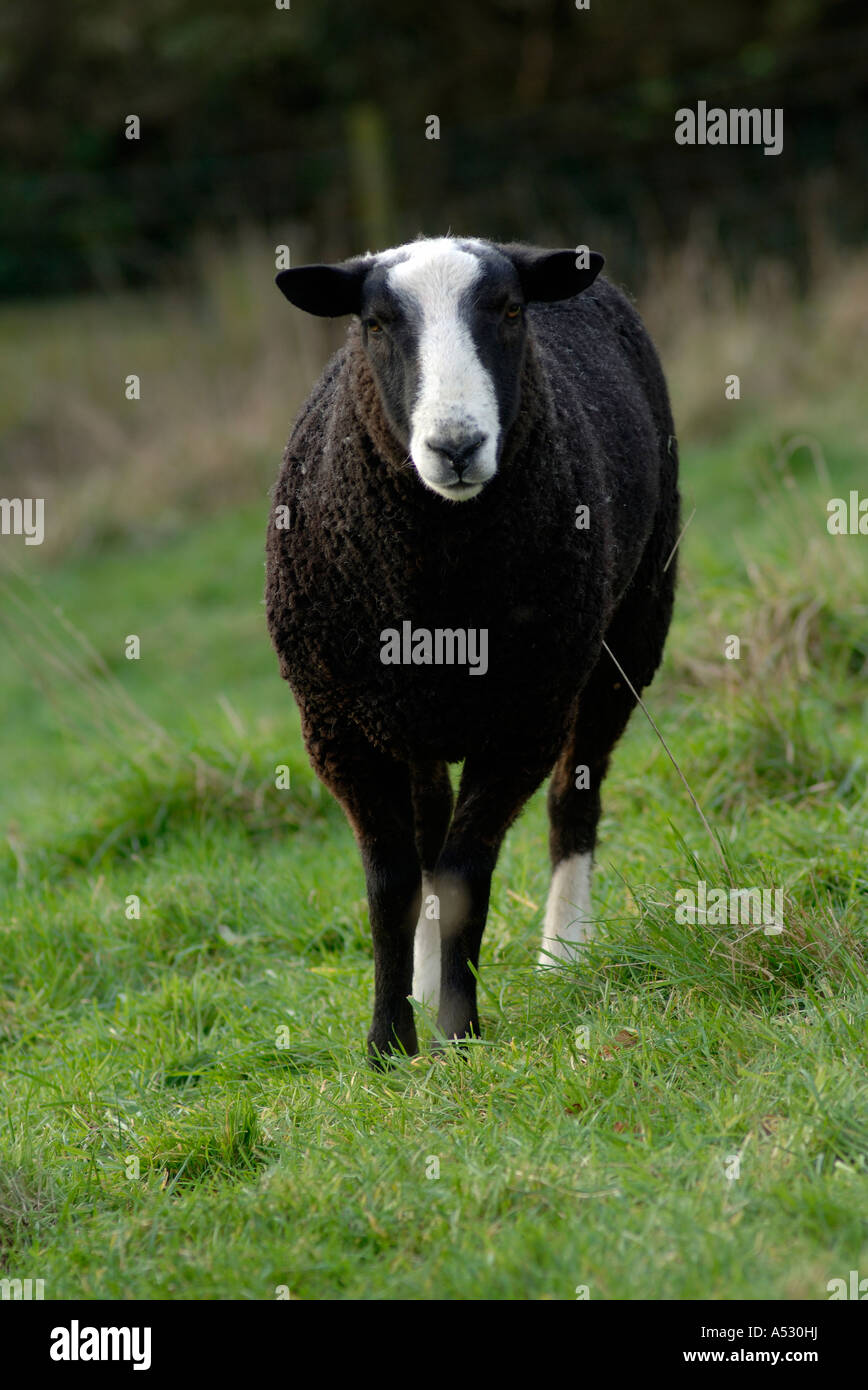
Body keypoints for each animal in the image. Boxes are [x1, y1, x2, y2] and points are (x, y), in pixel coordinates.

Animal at [264, 236, 678, 1061]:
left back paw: (564, 951)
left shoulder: (524, 718)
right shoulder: (338, 727)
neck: (439, 589)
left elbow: (463, 872)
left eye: (511, 310)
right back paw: (424, 979)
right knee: (429, 824)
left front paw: (459, 1032)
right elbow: (393, 879)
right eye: (375, 324)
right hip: (409, 720)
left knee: (573, 797)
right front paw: (390, 1041)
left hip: (629, 631)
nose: (455, 446)